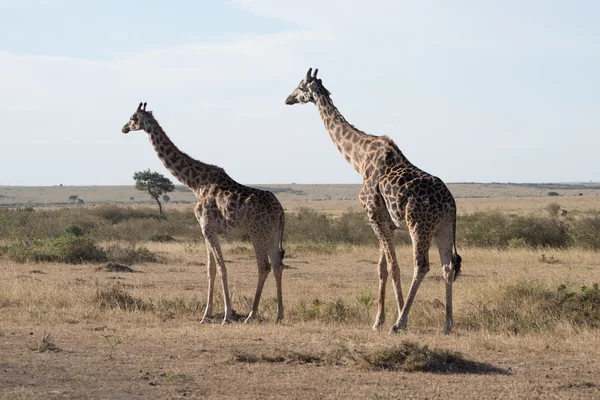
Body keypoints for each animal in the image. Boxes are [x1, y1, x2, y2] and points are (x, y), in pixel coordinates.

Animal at [122, 102, 286, 324]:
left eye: (133, 117)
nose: (123, 128)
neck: (195, 183)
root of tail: (280, 212)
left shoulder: (207, 227)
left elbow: (222, 267)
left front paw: (226, 315)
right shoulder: (207, 230)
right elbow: (211, 269)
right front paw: (206, 314)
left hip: (257, 232)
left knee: (264, 266)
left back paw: (251, 315)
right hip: (273, 233)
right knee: (278, 266)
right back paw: (279, 315)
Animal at [284, 69, 462, 334]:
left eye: (300, 86)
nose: (288, 99)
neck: (359, 159)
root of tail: (450, 204)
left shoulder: (374, 215)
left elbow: (393, 267)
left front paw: (398, 318)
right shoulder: (386, 223)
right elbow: (382, 269)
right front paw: (378, 321)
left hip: (419, 225)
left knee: (421, 265)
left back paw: (400, 323)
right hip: (444, 228)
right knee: (448, 267)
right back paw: (447, 324)